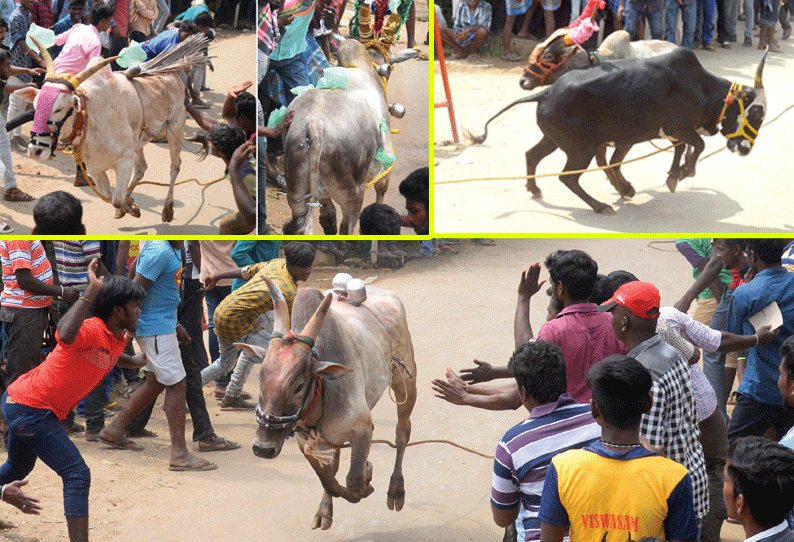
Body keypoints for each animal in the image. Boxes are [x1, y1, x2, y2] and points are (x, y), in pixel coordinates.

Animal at [19, 35, 209, 221]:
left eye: (59, 109)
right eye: (35, 106)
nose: (35, 151)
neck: (90, 120)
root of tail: (174, 74)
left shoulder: (125, 159)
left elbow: (116, 199)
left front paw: (130, 208)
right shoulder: (95, 168)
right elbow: (109, 198)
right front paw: (129, 206)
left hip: (175, 128)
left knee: (174, 166)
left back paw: (167, 209)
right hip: (138, 141)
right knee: (141, 168)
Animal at [235, 278, 418, 532]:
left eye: (299, 385)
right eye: (261, 377)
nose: (263, 448)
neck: (321, 394)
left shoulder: (363, 427)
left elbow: (353, 481)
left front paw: (366, 481)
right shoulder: (305, 439)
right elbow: (328, 479)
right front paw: (327, 508)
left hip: (406, 379)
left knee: (402, 433)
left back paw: (396, 489)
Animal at [282, 38, 418, 234]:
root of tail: (314, 122)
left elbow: (327, 211)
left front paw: (327, 221)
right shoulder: (386, 157)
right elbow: (381, 189)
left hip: (296, 195)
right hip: (351, 195)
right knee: (347, 227)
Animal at [470, 47, 768, 216]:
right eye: (755, 112)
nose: (745, 149)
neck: (701, 86)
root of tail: (546, 92)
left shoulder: (671, 133)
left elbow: (682, 148)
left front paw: (674, 174)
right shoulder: (678, 127)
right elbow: (697, 146)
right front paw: (685, 171)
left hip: (555, 139)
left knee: (532, 155)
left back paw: (535, 188)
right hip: (581, 149)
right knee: (568, 177)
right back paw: (600, 206)